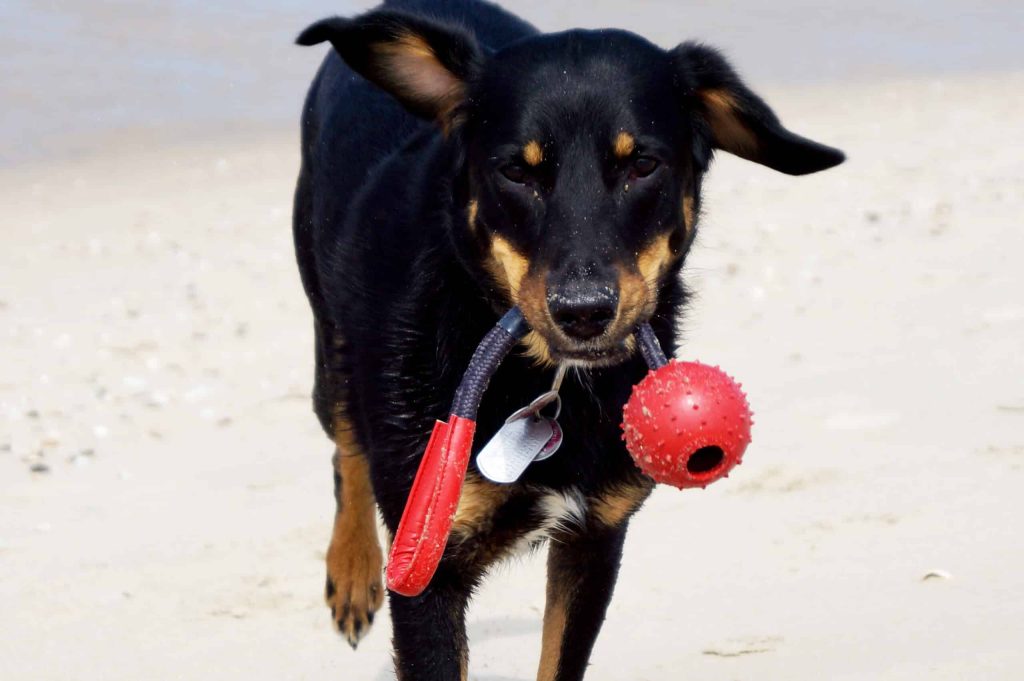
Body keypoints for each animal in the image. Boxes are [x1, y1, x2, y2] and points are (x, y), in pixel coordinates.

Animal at [292, 1, 843, 675]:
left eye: (642, 165)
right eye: (515, 172)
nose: (583, 312)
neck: (548, 379)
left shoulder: (596, 536)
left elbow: (560, 659)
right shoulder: (429, 567)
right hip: (332, 335)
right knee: (346, 441)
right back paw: (352, 574)